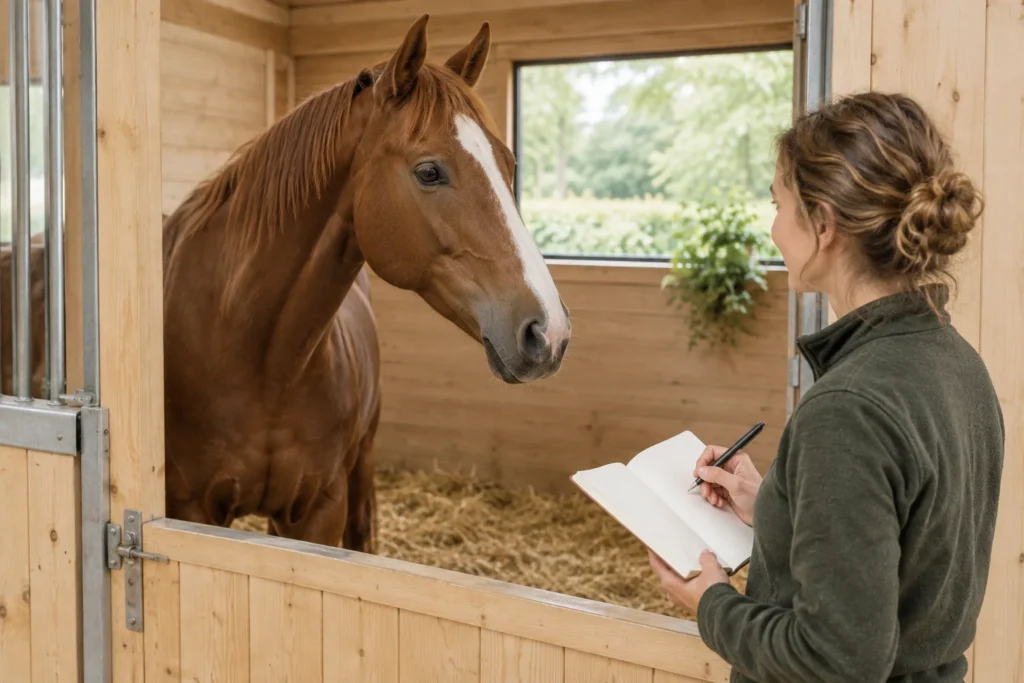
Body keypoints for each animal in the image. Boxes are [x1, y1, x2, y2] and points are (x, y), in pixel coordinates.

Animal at [1, 14, 572, 553]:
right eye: (429, 171)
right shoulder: (192, 508)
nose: (549, 332)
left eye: (509, 163)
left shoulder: (317, 509)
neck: (253, 355)